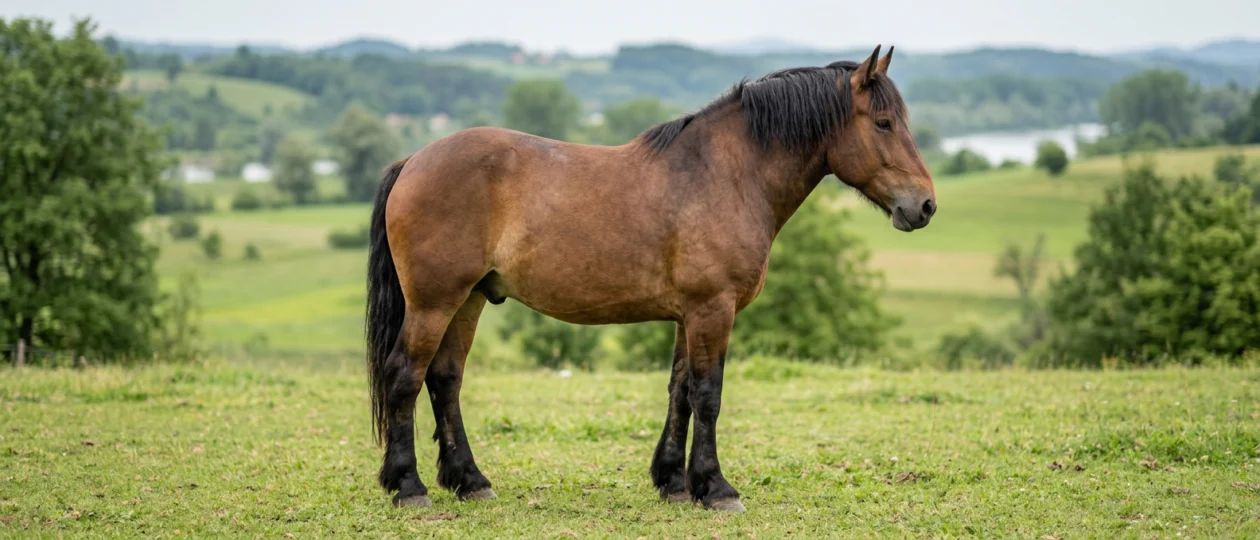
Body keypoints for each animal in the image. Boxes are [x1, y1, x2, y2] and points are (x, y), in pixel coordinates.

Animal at [363, 44, 936, 512]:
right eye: (884, 123)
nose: (925, 205)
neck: (723, 175)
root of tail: (413, 160)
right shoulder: (712, 308)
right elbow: (708, 394)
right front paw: (716, 488)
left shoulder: (691, 314)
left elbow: (679, 390)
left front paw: (674, 482)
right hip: (434, 302)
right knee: (404, 377)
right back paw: (409, 487)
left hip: (469, 300)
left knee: (445, 379)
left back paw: (470, 481)